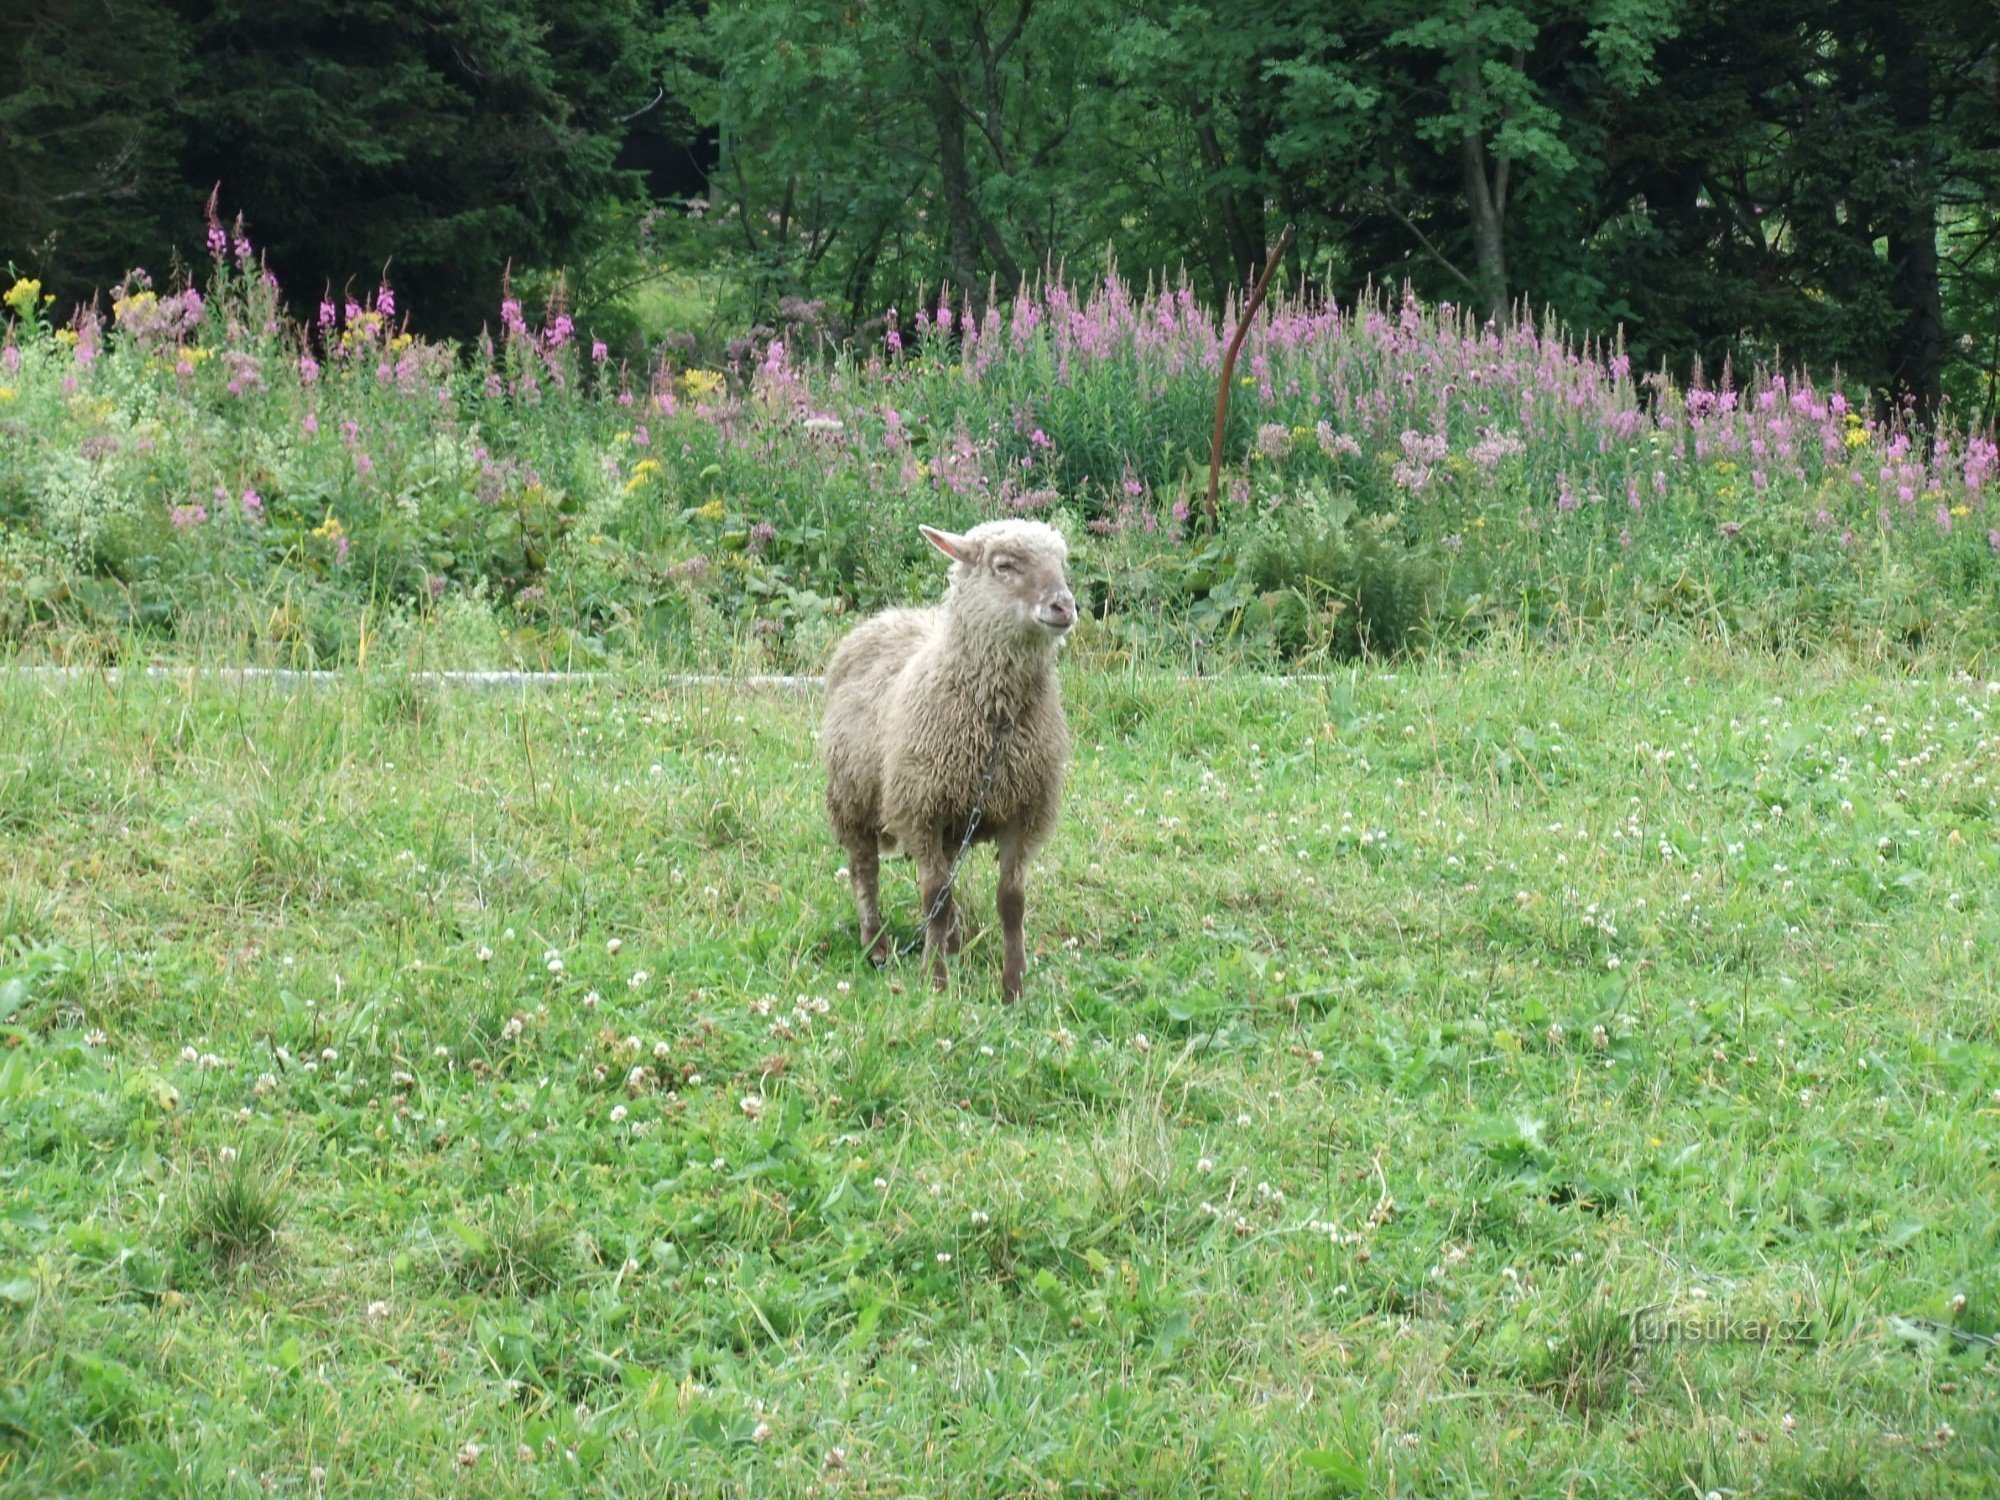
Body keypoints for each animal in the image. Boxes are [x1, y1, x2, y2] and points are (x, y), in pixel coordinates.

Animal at [820, 524, 1080, 1004]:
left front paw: (1013, 989)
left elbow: (1011, 903)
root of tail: (890, 614)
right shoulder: (919, 809)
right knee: (866, 870)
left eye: (1061, 562)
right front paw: (936, 982)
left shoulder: (1025, 813)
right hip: (851, 796)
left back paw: (953, 942)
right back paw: (877, 944)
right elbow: (932, 896)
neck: (995, 723)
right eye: (1004, 566)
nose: (1064, 607)